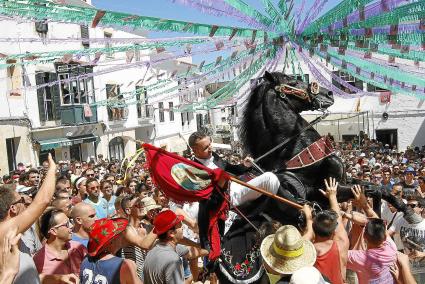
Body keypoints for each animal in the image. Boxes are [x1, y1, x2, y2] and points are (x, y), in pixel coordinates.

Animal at [214, 70, 410, 282]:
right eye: (294, 81)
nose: (328, 94)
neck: (295, 152)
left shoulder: (345, 180)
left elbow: (376, 187)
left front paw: (402, 209)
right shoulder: (326, 190)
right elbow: (373, 189)